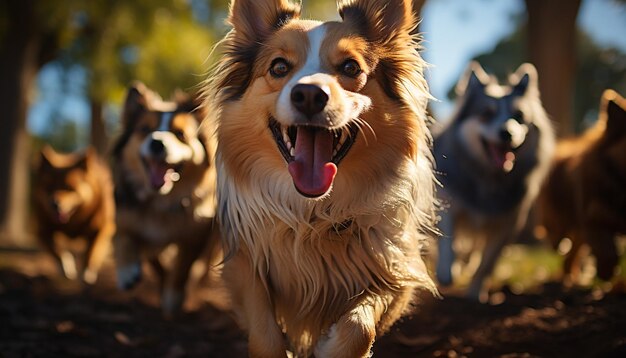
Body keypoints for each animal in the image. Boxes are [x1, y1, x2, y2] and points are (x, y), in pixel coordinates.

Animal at [33, 146, 115, 286]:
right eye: (48, 187)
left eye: (69, 188)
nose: (54, 204)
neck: (73, 221)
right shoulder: (42, 230)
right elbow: (56, 250)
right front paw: (66, 268)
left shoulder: (103, 228)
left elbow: (93, 250)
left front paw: (87, 272)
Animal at [111, 82, 221, 314]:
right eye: (144, 129)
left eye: (180, 134)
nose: (157, 143)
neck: (161, 200)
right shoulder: (127, 217)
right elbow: (124, 237)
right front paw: (127, 272)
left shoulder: (195, 233)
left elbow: (182, 267)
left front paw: (173, 298)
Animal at [202, 0, 436, 356]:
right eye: (279, 67)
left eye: (351, 67)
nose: (310, 95)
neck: (314, 215)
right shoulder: (243, 261)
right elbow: (264, 335)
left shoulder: (397, 270)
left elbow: (360, 327)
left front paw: (331, 346)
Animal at [432, 63, 552, 300]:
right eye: (486, 114)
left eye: (519, 116)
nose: (506, 133)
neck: (489, 176)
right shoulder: (447, 201)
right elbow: (448, 242)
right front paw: (446, 273)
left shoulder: (506, 223)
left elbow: (486, 264)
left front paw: (475, 294)